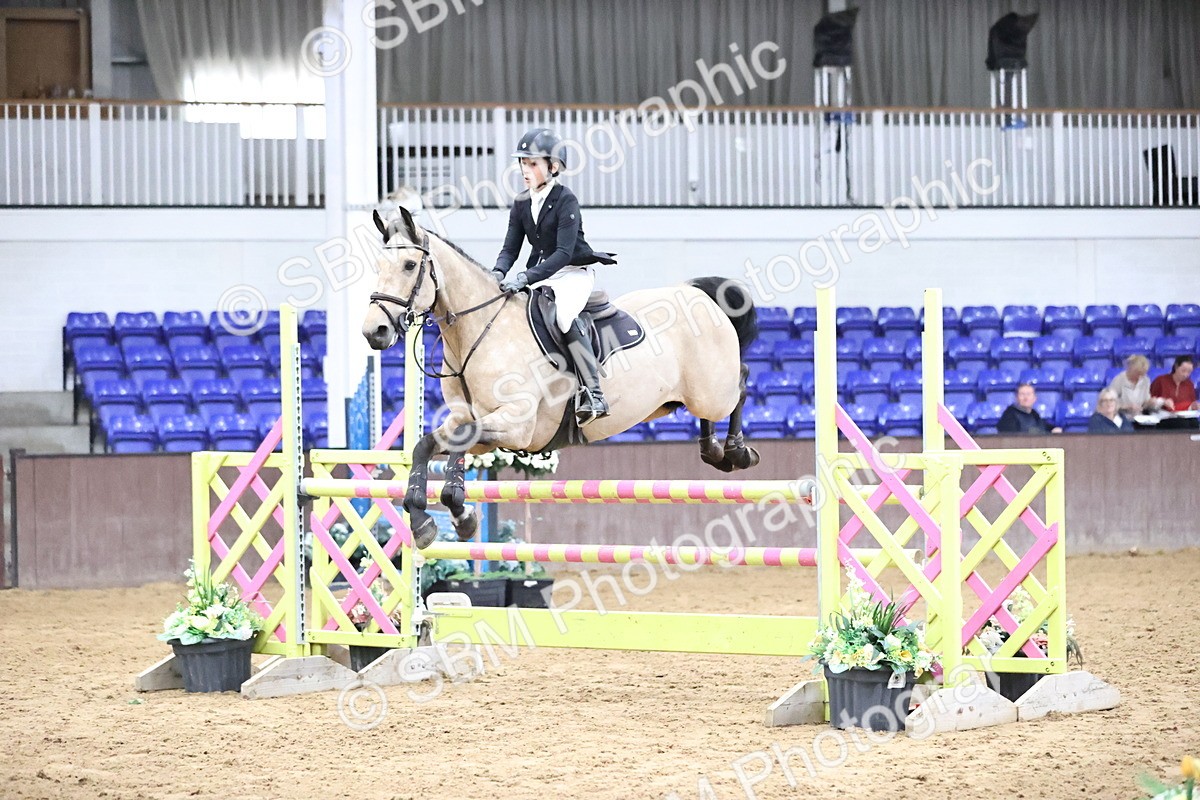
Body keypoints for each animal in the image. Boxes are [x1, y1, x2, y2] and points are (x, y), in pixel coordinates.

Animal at [361, 204, 761, 549]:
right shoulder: (472, 425)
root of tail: (699, 295)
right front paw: (436, 519)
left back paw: (736, 451)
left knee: (740, 384)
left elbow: (447, 447)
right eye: (377, 266)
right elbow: (426, 445)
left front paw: (447, 512)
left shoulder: (517, 425)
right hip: (681, 398)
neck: (479, 332)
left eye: (410, 265)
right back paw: (713, 451)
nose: (374, 331)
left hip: (712, 390)